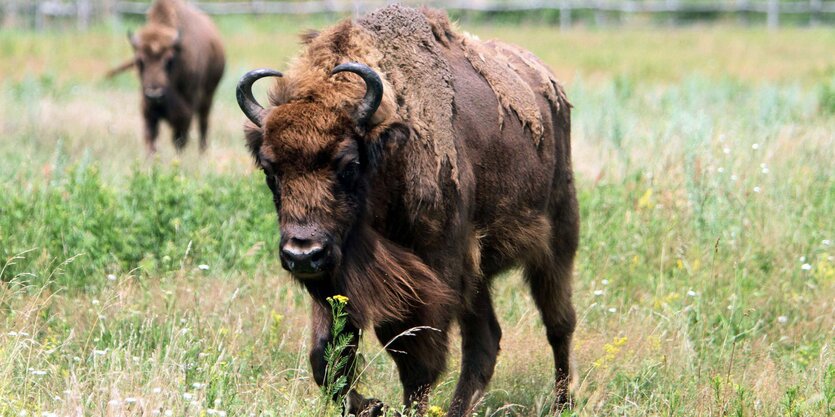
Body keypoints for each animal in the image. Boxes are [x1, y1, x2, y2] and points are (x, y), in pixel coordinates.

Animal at [109, 0, 225, 154]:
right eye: (140, 61)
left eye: (169, 60)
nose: (154, 95)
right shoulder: (148, 111)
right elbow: (150, 138)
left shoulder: (185, 112)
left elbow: (180, 139)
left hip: (208, 97)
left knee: (203, 125)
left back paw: (202, 153)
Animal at [233, 4, 576, 414]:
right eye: (270, 171)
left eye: (349, 164)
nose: (303, 254)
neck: (388, 150)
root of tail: (549, 84)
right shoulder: (338, 280)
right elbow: (327, 360)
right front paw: (370, 403)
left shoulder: (433, 275)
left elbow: (416, 361)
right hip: (478, 275)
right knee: (485, 339)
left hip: (557, 239)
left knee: (558, 324)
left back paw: (562, 403)